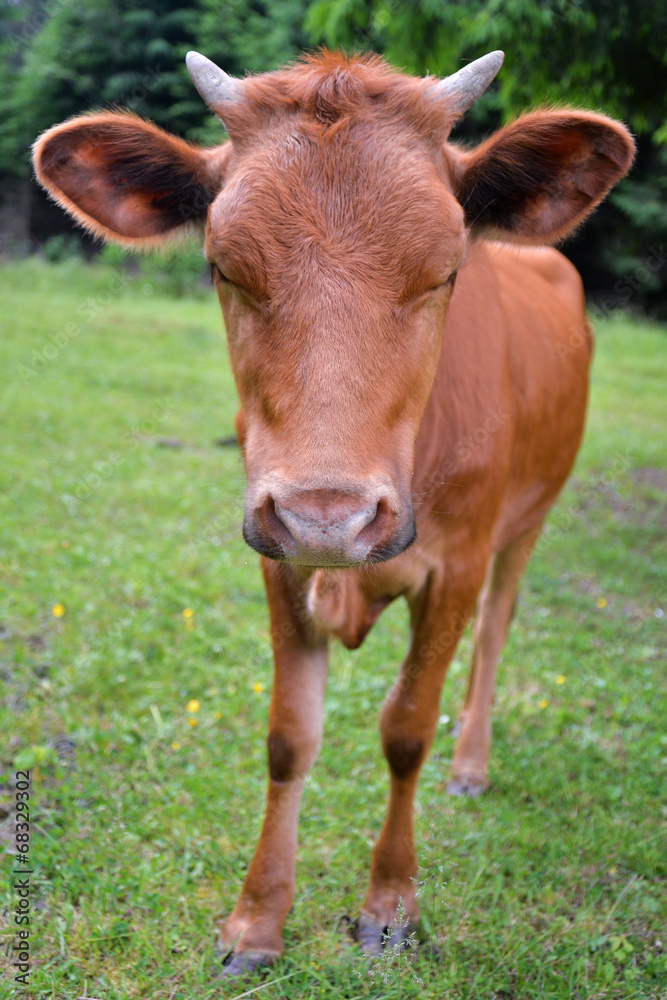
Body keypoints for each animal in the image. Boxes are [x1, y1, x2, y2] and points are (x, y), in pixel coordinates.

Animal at [32, 48, 636, 976]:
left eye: (444, 270)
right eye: (223, 266)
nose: (328, 516)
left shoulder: (454, 566)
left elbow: (406, 728)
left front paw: (389, 906)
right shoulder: (278, 559)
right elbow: (289, 736)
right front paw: (255, 922)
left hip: (527, 520)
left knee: (495, 630)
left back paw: (471, 762)